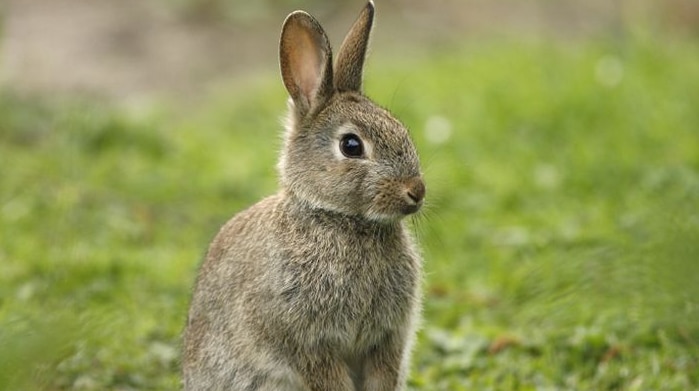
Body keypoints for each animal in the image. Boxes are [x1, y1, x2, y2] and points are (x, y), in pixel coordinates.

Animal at [183, 1, 426, 390]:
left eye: (401, 128)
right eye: (351, 145)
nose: (416, 191)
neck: (340, 220)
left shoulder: (387, 341)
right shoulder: (309, 345)